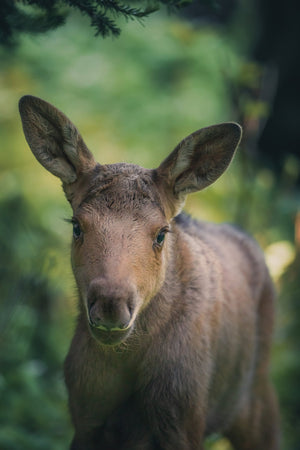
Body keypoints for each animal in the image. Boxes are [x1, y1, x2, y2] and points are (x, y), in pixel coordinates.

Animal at [19, 94, 278, 446]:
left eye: (160, 233)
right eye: (77, 226)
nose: (110, 304)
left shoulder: (183, 422)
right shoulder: (85, 419)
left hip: (256, 402)